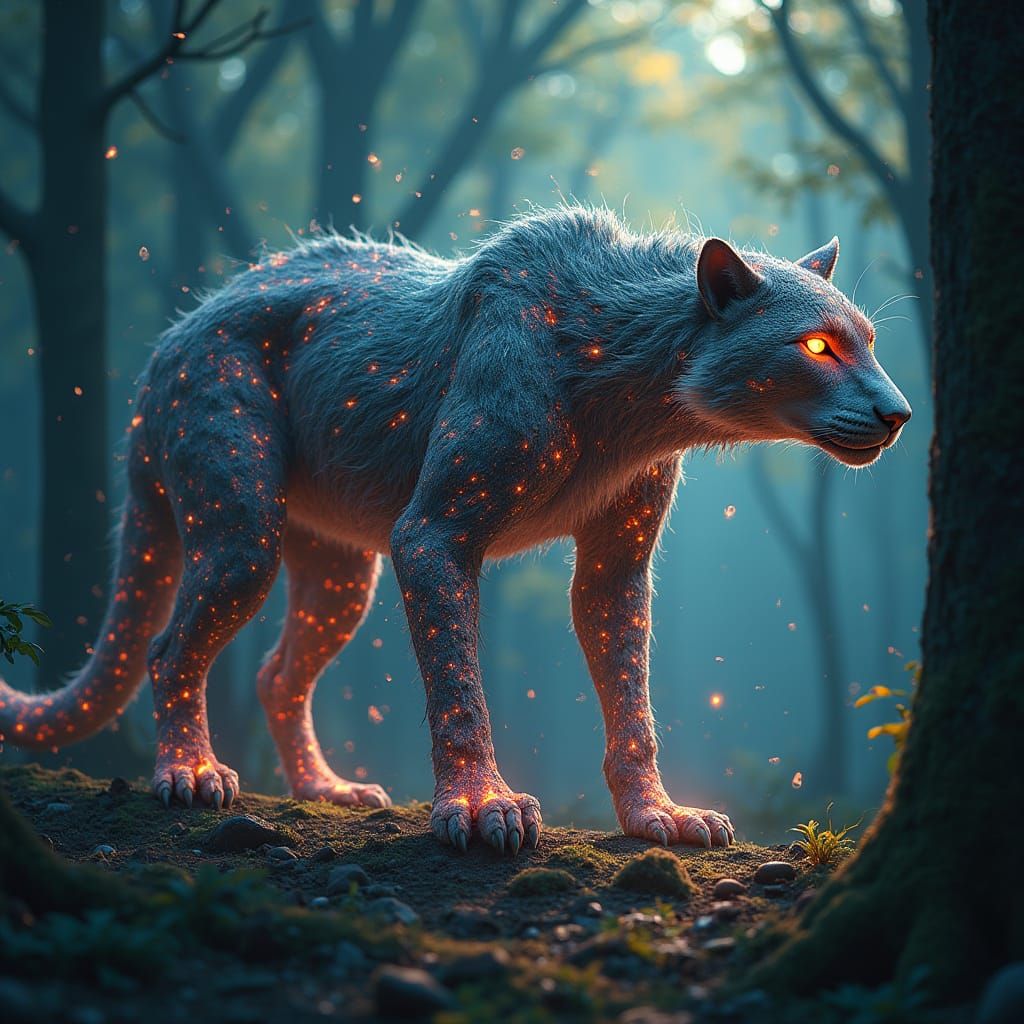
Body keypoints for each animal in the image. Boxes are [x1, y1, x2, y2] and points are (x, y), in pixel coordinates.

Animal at [0, 207, 910, 853]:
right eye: (818, 346)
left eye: (869, 342)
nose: (898, 413)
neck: (637, 398)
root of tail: (167, 342)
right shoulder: (434, 534)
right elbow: (456, 682)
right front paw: (479, 807)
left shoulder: (614, 565)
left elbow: (632, 697)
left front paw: (658, 815)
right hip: (240, 528)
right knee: (167, 648)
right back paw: (191, 773)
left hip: (337, 572)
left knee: (275, 672)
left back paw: (325, 790)